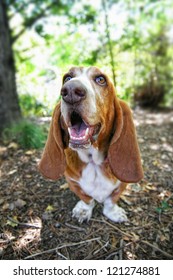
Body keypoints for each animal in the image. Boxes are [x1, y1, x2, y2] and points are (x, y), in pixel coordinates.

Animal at [38, 65, 143, 223]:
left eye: (100, 79)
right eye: (67, 78)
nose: (70, 91)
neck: (93, 161)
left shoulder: (122, 184)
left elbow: (111, 200)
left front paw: (114, 213)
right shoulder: (72, 182)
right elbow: (87, 199)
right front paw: (83, 211)